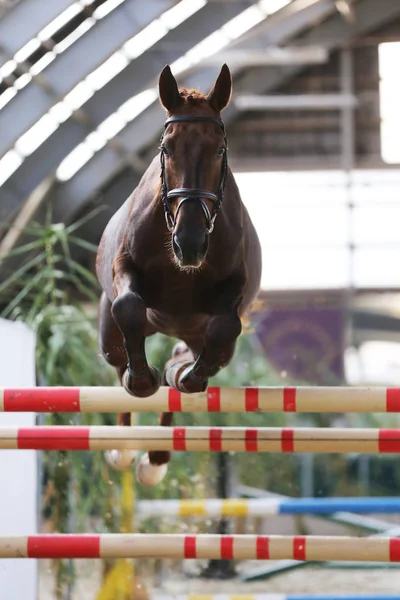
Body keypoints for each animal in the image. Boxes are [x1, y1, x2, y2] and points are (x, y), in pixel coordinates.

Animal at [95, 64, 260, 488]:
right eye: (167, 149)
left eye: (219, 150)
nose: (190, 243)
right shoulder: (125, 270)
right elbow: (129, 307)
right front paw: (141, 378)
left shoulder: (233, 287)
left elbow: (224, 327)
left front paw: (185, 374)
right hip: (107, 330)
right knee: (117, 356)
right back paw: (124, 447)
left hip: (197, 336)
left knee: (194, 359)